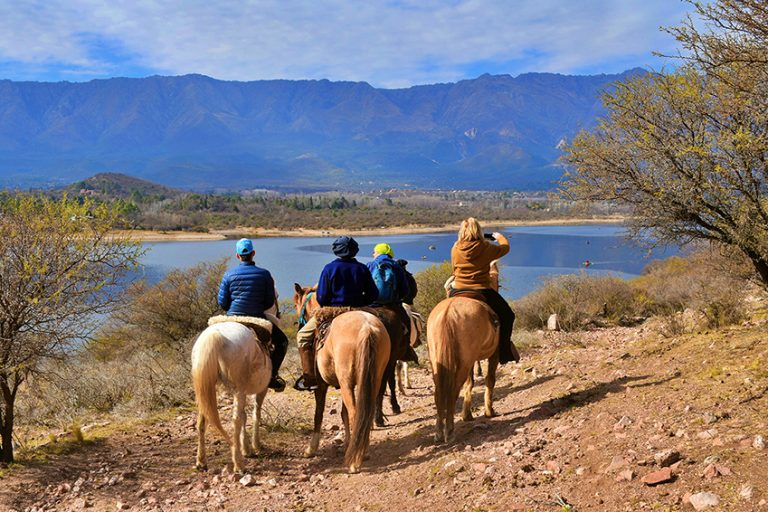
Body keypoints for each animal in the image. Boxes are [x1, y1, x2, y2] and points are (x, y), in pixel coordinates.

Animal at [191, 317, 273, 473]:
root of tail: (215, 335)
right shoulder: (261, 389)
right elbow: (255, 413)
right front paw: (255, 445)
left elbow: (245, 415)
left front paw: (246, 448)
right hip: (238, 390)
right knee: (236, 420)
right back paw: (239, 464)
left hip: (207, 388)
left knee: (202, 421)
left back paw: (201, 461)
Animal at [292, 285, 391, 473]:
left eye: (296, 304)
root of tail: (367, 328)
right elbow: (343, 414)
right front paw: (347, 444)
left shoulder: (322, 386)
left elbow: (318, 414)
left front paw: (311, 449)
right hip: (372, 379)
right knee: (364, 414)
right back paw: (361, 450)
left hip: (346, 383)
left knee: (355, 413)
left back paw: (355, 462)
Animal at [427, 296, 500, 444]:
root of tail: (448, 312)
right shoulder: (494, 354)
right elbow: (490, 380)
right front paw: (489, 411)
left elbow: (470, 383)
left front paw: (467, 415)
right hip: (466, 360)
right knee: (453, 392)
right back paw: (449, 432)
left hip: (437, 359)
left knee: (439, 393)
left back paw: (438, 433)